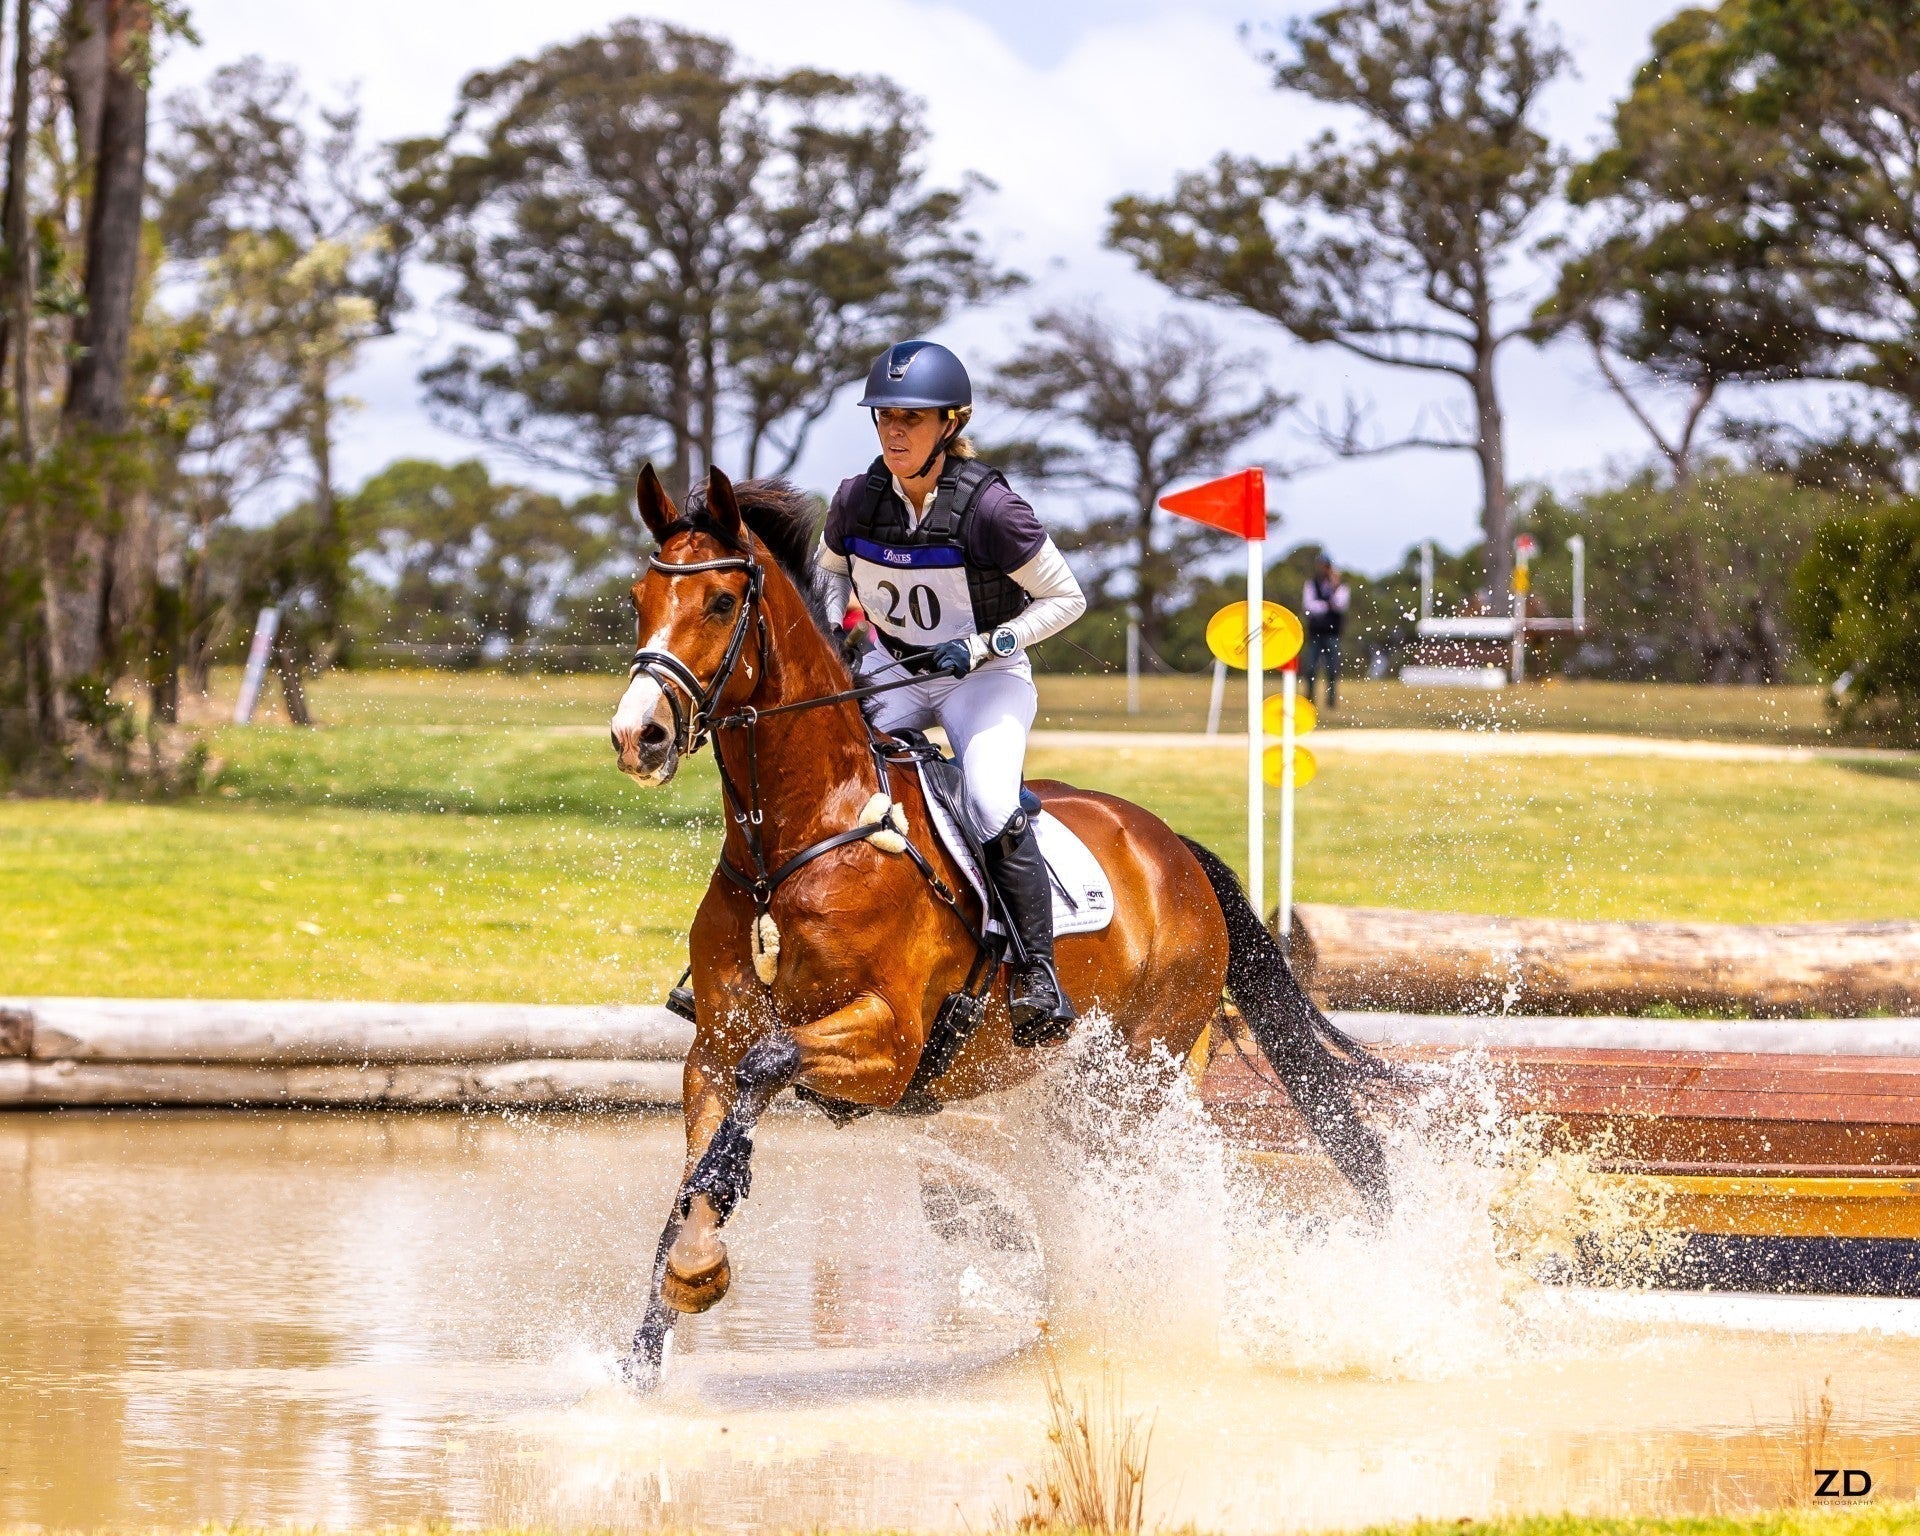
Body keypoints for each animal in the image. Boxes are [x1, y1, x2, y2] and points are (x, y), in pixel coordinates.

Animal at [607, 465, 1398, 1386]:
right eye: (639, 597)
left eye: (722, 601)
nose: (637, 736)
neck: (802, 839)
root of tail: (1175, 850)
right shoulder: (714, 1043)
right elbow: (697, 1164)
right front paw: (653, 1337)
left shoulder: (889, 1043)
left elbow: (764, 1075)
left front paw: (698, 1270)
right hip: (1057, 1087)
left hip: (1133, 1078)